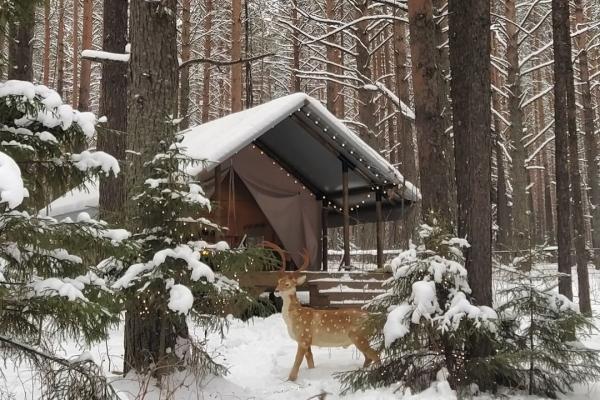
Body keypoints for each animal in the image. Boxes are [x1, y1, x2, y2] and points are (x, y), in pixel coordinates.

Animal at [262, 241, 380, 382]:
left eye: (288, 284)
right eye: (279, 281)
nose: (276, 291)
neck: (294, 318)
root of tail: (374, 318)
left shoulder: (304, 337)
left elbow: (297, 361)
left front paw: (291, 379)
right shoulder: (308, 342)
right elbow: (310, 361)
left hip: (359, 336)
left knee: (376, 355)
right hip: (360, 338)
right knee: (368, 357)